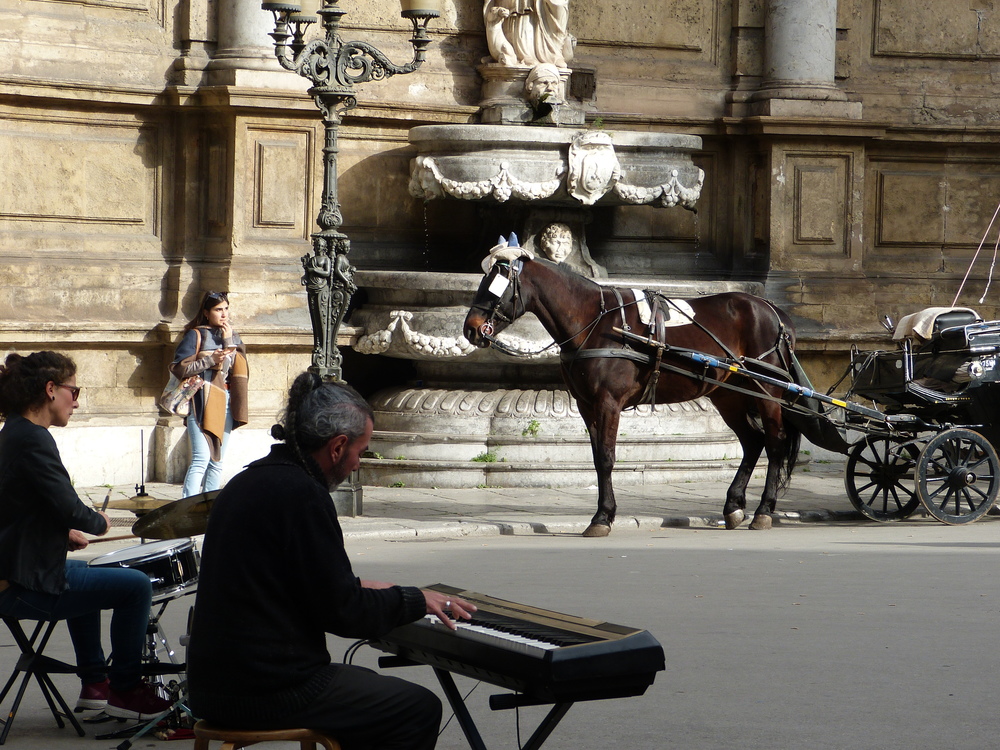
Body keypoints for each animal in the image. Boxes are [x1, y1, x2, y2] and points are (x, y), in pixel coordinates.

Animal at [460, 245, 804, 536]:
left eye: (496, 285)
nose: (471, 328)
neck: (594, 322)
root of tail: (775, 312)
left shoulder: (607, 402)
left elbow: (606, 458)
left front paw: (602, 517)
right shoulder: (586, 405)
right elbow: (597, 458)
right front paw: (603, 513)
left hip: (768, 392)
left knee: (775, 443)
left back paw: (764, 510)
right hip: (728, 395)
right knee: (753, 441)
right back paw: (733, 505)